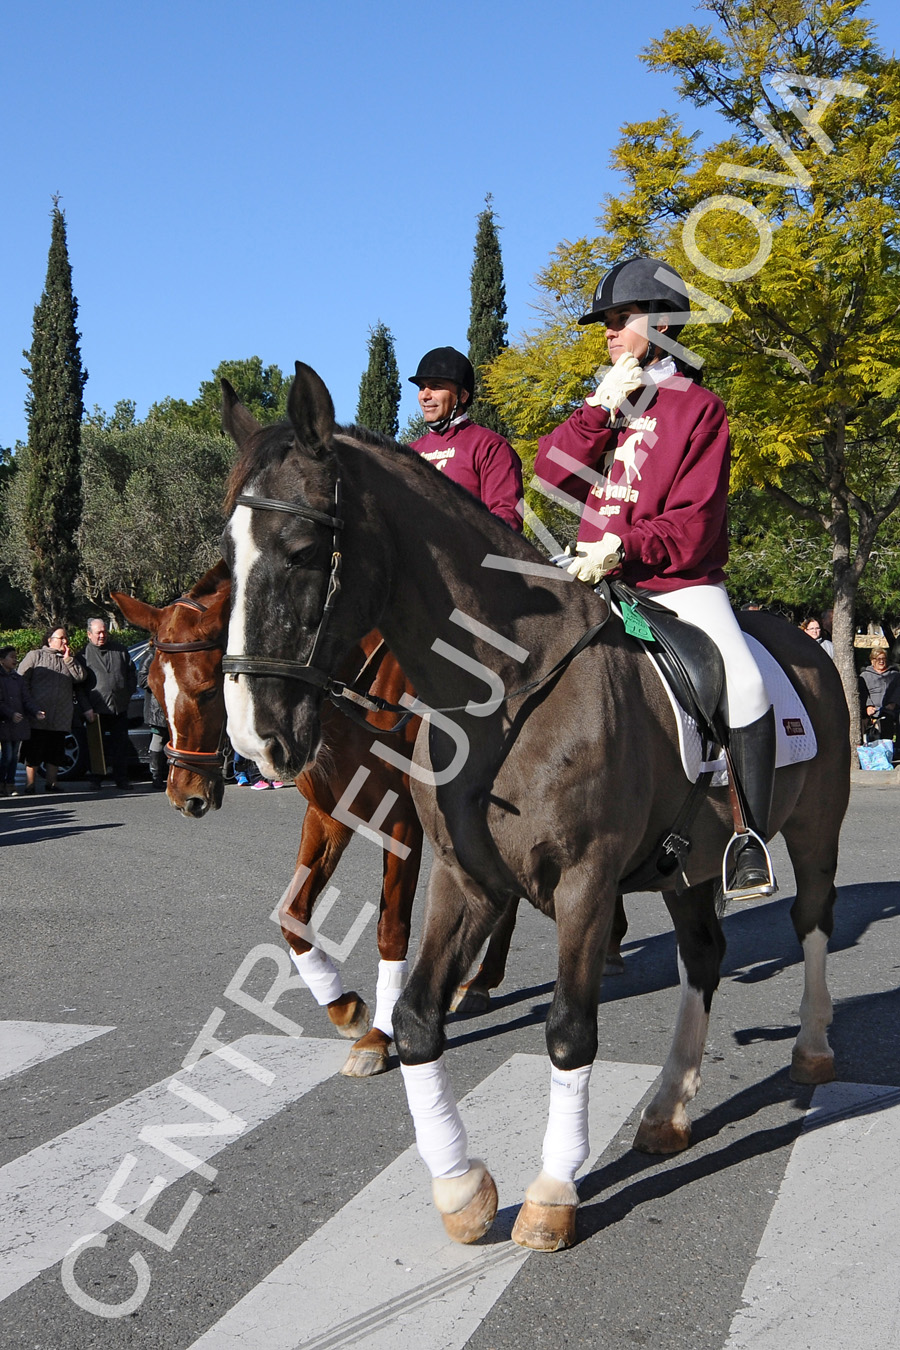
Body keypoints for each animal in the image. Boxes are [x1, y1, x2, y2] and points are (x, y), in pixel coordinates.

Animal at [218, 367, 852, 1252]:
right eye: (227, 555)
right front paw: (459, 1188)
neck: (504, 691)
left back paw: (814, 1048)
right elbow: (416, 1018)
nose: (255, 737)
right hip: (691, 864)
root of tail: (805, 643)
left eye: (305, 550)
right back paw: (667, 1109)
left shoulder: (585, 885)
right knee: (704, 955)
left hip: (814, 830)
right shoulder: (465, 878)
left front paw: (553, 1189)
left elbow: (568, 1032)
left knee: (813, 920)